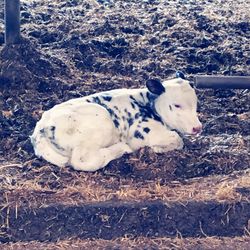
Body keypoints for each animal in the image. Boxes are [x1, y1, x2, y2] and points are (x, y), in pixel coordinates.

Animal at [30, 76, 201, 171]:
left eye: (196, 102)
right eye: (176, 105)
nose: (197, 127)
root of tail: (41, 129)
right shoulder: (142, 133)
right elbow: (177, 139)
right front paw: (157, 148)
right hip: (102, 122)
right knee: (82, 161)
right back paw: (121, 149)